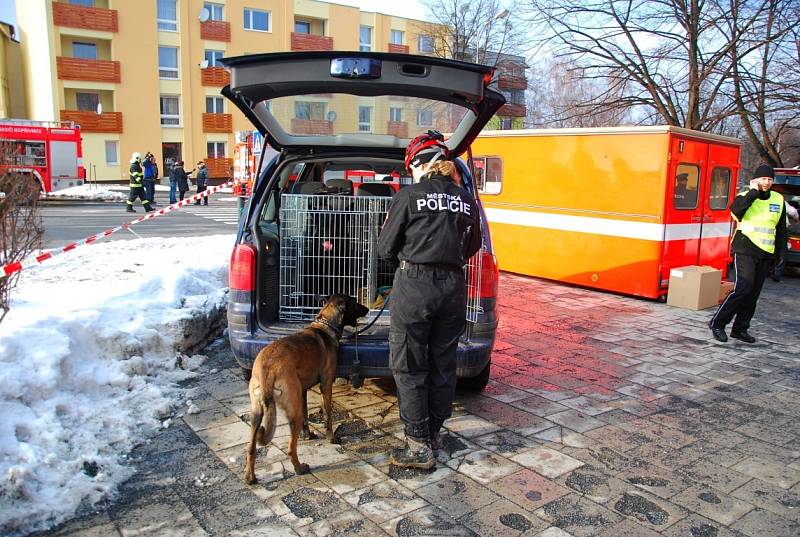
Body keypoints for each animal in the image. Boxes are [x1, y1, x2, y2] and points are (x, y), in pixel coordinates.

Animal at [244, 294, 368, 482]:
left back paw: (250, 477)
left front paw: (308, 434)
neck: (324, 325)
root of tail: (267, 369)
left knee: (251, 448)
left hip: (256, 413)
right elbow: (327, 413)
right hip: (291, 410)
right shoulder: (326, 384)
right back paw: (299, 468)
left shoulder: (302, 391)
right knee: (290, 448)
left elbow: (306, 416)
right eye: (355, 303)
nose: (367, 309)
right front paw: (331, 437)